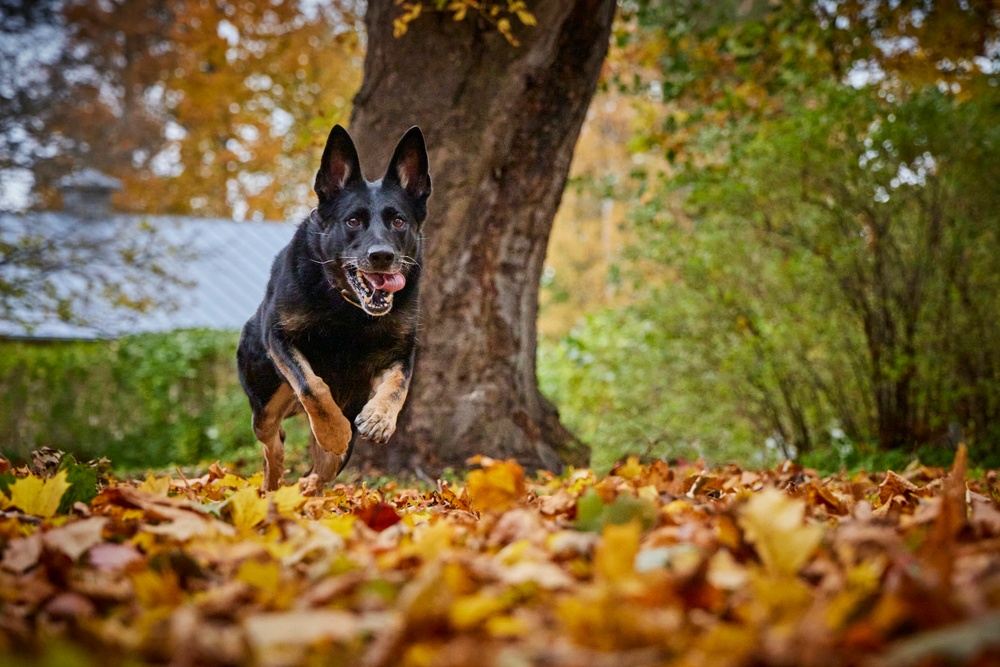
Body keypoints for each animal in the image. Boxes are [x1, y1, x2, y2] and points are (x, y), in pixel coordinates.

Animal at [242, 124, 434, 490]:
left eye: (399, 222)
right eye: (353, 221)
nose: (382, 256)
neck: (349, 312)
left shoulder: (400, 354)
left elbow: (397, 387)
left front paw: (379, 418)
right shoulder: (280, 338)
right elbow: (312, 386)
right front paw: (333, 430)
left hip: (335, 453)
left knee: (318, 474)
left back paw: (305, 490)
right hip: (265, 406)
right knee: (273, 442)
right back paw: (273, 486)